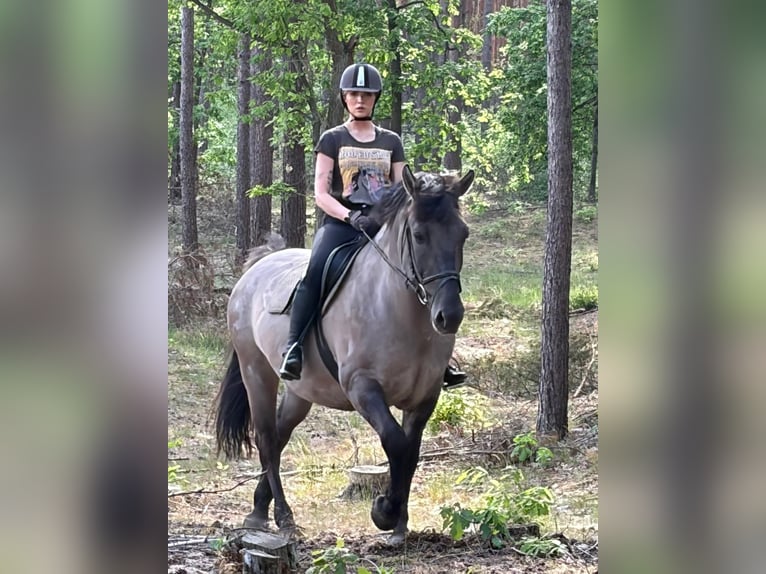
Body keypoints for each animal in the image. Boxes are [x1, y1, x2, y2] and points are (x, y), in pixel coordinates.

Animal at [214, 165, 474, 543]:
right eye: (418, 235)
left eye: (463, 234)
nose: (449, 316)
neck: (401, 312)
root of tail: (257, 268)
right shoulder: (362, 387)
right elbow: (395, 443)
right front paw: (384, 512)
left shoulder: (425, 397)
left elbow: (411, 452)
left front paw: (400, 524)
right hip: (256, 373)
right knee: (266, 438)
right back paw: (282, 516)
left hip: (300, 391)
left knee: (279, 435)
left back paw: (259, 509)